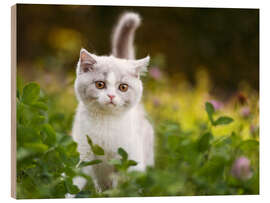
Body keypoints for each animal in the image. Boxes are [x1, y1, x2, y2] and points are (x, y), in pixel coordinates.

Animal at [71, 12, 154, 190]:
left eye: (123, 87)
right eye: (100, 84)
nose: (111, 96)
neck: (106, 121)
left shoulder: (130, 156)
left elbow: (128, 182)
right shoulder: (82, 150)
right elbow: (73, 177)